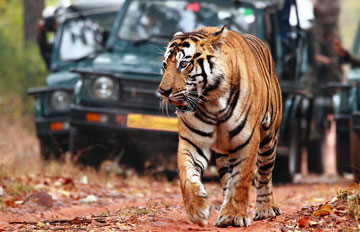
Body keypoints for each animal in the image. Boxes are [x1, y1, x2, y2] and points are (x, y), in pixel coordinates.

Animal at [159, 26, 282, 227]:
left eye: (184, 64)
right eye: (164, 65)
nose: (162, 91)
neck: (212, 103)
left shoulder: (247, 140)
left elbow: (241, 180)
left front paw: (234, 215)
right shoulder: (192, 141)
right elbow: (186, 176)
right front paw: (198, 210)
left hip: (268, 139)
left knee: (264, 174)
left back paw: (265, 209)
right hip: (225, 152)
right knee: (227, 179)